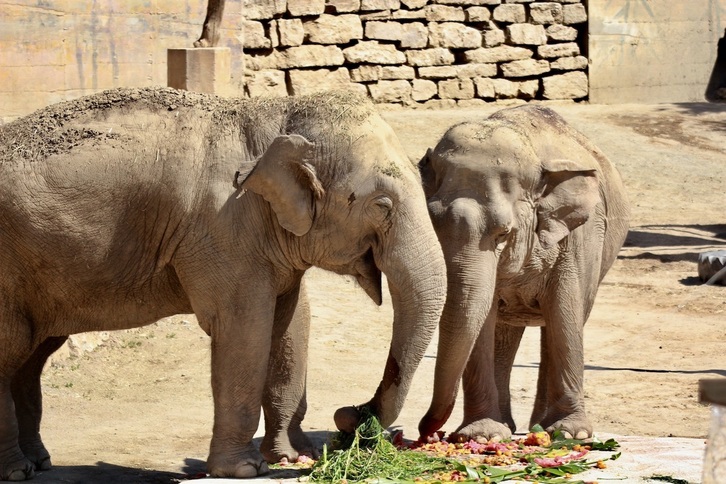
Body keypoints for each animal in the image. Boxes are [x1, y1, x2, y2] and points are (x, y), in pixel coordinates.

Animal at [0, 87, 446, 480]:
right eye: (382, 206)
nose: (351, 415)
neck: (276, 114)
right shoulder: (222, 228)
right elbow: (244, 330)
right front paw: (245, 469)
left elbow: (291, 324)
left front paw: (291, 456)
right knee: (13, 349)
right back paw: (18, 470)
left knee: (31, 357)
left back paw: (39, 463)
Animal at [417, 105, 629, 443]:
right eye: (432, 225)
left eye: (503, 233)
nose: (429, 432)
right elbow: (482, 320)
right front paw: (482, 436)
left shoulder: (579, 237)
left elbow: (565, 312)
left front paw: (572, 433)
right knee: (505, 332)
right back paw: (510, 425)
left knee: (562, 320)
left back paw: (541, 426)